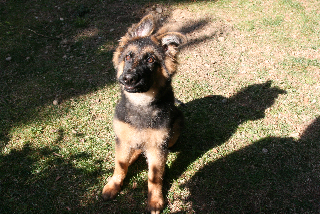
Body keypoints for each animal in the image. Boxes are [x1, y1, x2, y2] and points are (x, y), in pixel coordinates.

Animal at [102, 14, 186, 213]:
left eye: (150, 60)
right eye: (128, 56)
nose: (127, 78)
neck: (141, 104)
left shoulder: (158, 146)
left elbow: (154, 177)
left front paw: (155, 200)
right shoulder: (122, 139)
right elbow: (120, 166)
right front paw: (113, 185)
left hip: (175, 131)